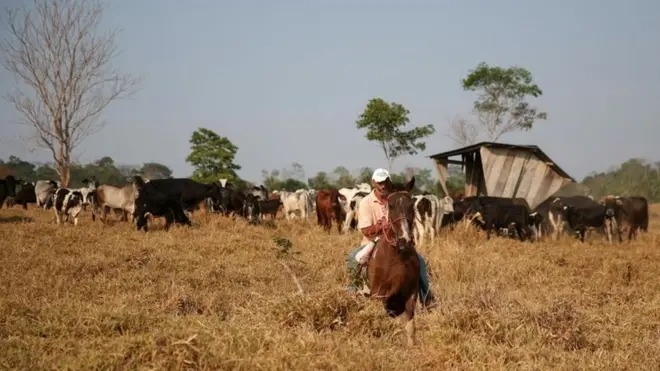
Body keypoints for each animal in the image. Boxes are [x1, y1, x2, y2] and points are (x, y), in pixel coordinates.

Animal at [368, 177, 420, 346]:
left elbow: (410, 326)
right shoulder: (379, 295)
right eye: (391, 205)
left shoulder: (410, 294)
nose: (405, 239)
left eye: (411, 204)